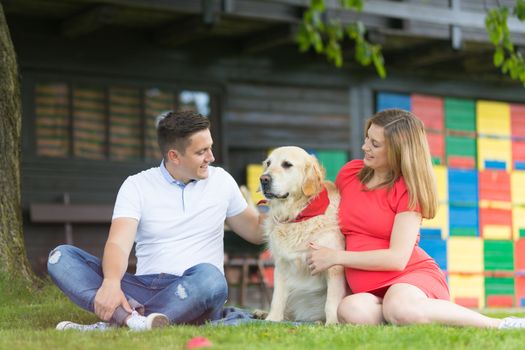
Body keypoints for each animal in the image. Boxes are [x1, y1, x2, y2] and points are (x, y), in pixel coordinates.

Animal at [260, 146, 346, 324]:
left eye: (287, 164)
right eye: (268, 163)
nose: (263, 179)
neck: (298, 214)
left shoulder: (333, 265)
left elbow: (331, 302)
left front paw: (332, 324)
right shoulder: (282, 264)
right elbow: (277, 297)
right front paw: (272, 319)